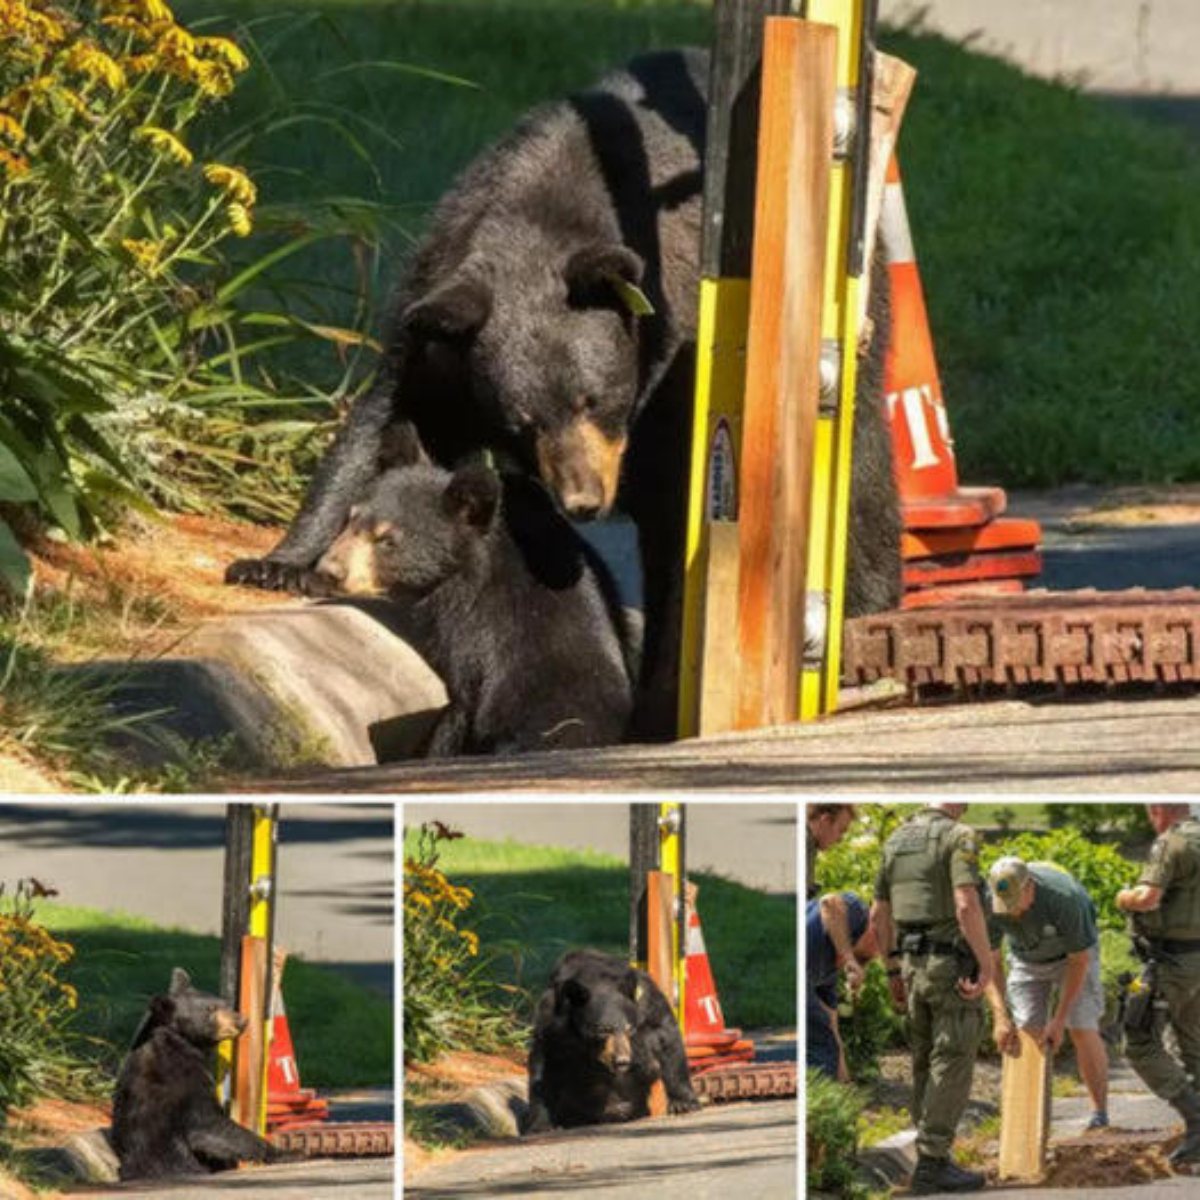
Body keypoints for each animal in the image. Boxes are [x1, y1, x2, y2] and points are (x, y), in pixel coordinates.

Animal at [112, 964, 285, 1180]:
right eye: (210, 1010)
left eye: (224, 1003)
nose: (242, 1020)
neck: (180, 1044)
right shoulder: (183, 1084)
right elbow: (209, 1126)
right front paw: (280, 1152)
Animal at [520, 945, 700, 1132]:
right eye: (603, 1030)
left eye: (630, 1028)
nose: (622, 1061)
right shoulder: (550, 1016)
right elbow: (544, 1064)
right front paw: (539, 1125)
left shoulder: (646, 999)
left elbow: (664, 1033)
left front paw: (684, 1103)